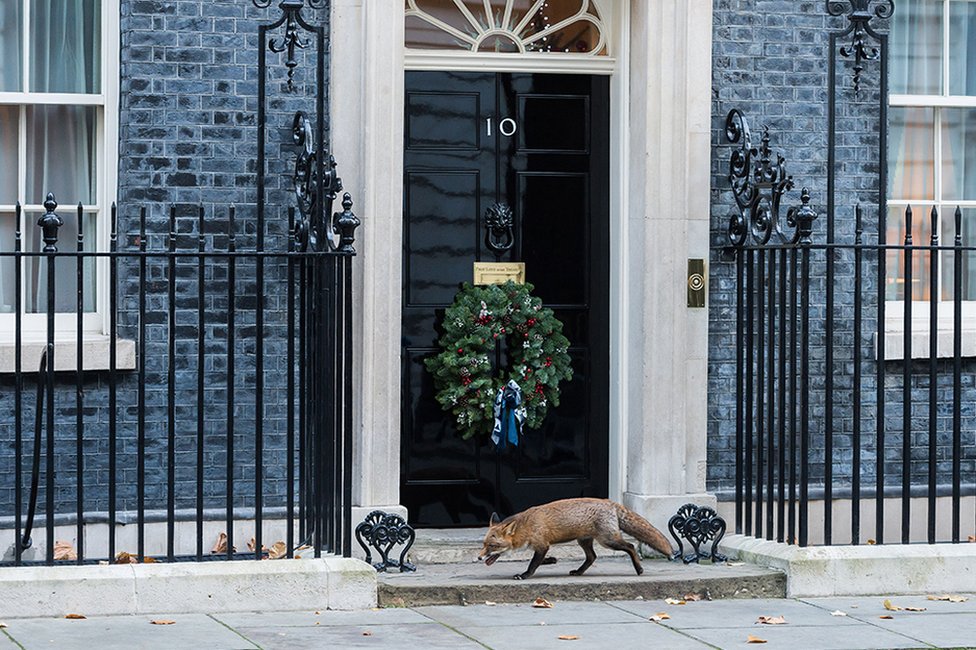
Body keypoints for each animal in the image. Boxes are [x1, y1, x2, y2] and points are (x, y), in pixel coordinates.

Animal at [476, 496, 676, 576]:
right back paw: (579, 572)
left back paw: (639, 569)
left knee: (631, 546)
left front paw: (525, 575)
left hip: (608, 541)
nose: (478, 557)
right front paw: (551, 561)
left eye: (492, 546)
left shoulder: (542, 545)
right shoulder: (541, 547)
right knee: (592, 557)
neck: (526, 526)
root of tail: (609, 502)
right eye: (484, 544)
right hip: (584, 541)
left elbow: (533, 564)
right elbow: (541, 560)